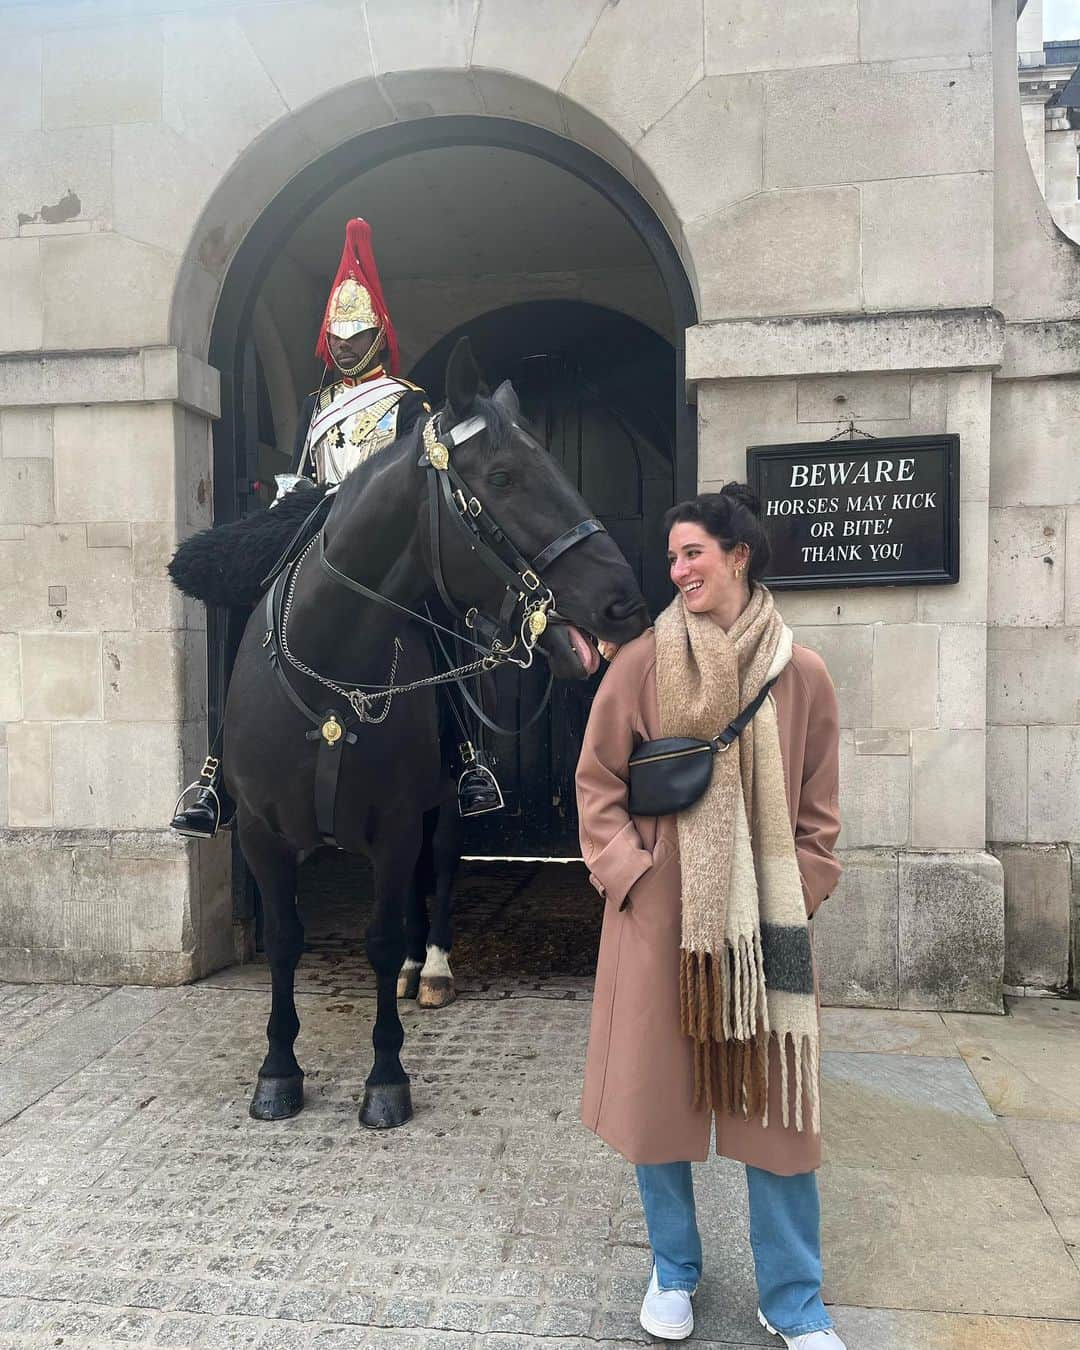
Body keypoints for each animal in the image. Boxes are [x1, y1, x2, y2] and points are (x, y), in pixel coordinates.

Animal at [224, 340, 645, 1128]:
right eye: (503, 476)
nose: (624, 602)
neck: (331, 676)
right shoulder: (264, 832)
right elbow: (286, 940)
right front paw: (278, 1071)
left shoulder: (392, 822)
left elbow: (383, 937)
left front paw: (386, 1079)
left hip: (444, 798)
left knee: (441, 864)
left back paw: (436, 965)